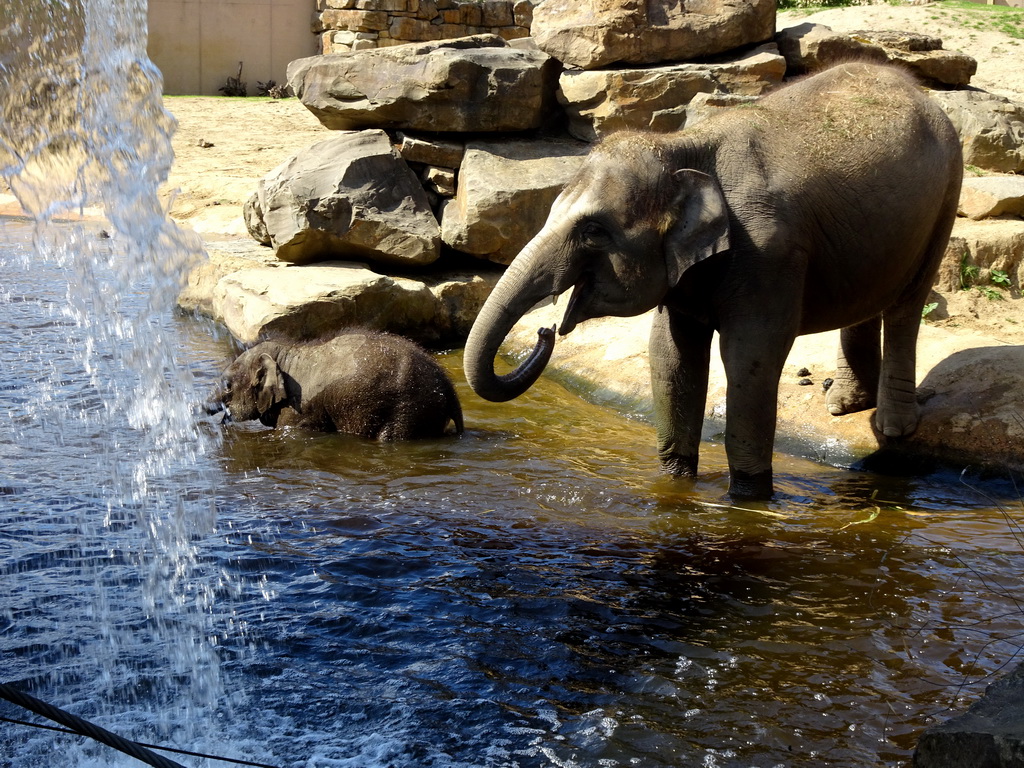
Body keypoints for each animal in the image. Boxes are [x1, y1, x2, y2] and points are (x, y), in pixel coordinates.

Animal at [464, 64, 958, 499]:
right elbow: (671, 354)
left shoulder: (769, 253)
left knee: (908, 303)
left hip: (946, 197)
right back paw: (844, 404)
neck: (681, 146)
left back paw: (893, 426)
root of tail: (914, 87)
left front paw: (749, 496)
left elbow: (749, 356)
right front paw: (675, 479)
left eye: (593, 231)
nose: (545, 331)